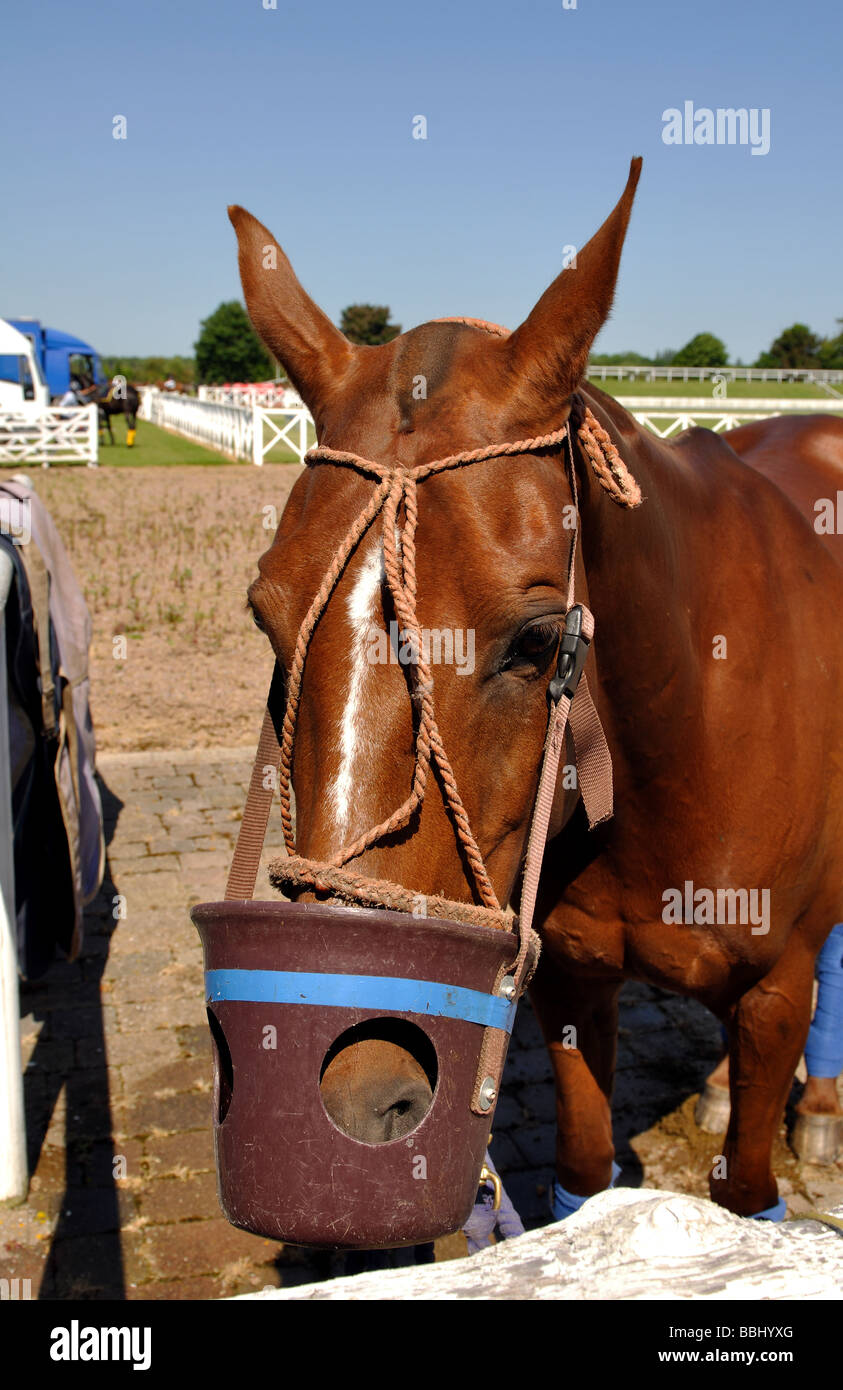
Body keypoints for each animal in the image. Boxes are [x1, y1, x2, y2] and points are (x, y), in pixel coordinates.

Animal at [230, 162, 843, 1223]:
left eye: (536, 641)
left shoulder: (776, 992)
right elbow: (585, 1182)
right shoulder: (571, 984)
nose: (343, 1078)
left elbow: (748, 1192)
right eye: (268, 619)